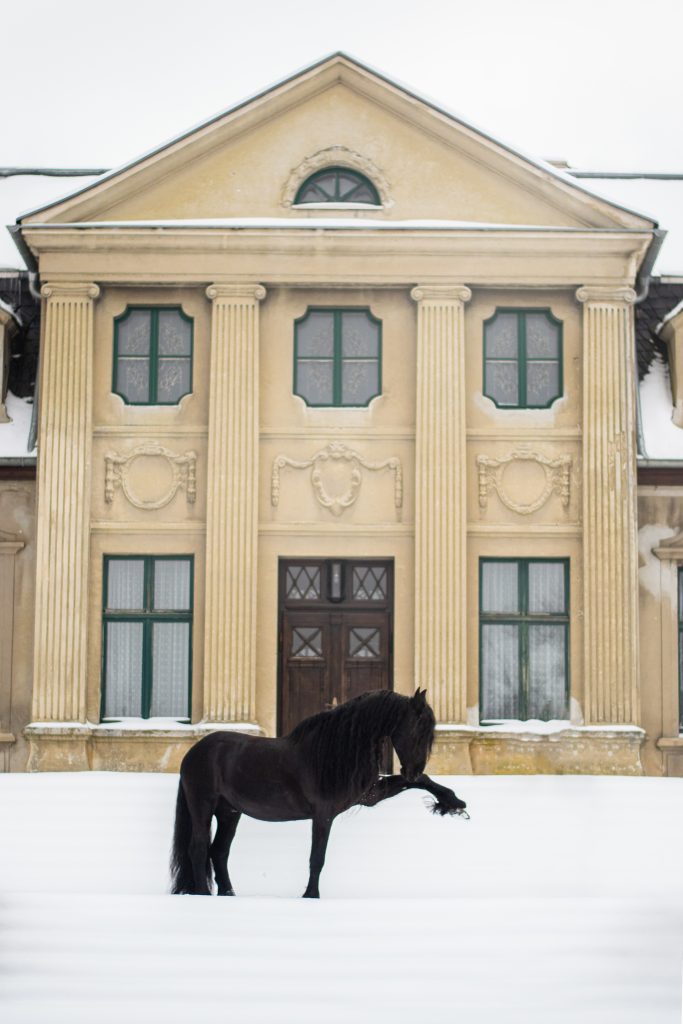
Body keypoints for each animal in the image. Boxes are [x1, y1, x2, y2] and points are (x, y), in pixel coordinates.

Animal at [172, 692, 471, 901]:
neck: (334, 751)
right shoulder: (324, 814)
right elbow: (317, 858)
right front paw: (311, 896)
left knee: (219, 851)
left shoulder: (368, 795)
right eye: (417, 729)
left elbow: (421, 782)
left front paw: (453, 804)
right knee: (199, 848)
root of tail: (194, 753)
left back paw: (228, 895)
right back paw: (202, 894)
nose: (412, 769)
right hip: (203, 805)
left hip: (229, 812)